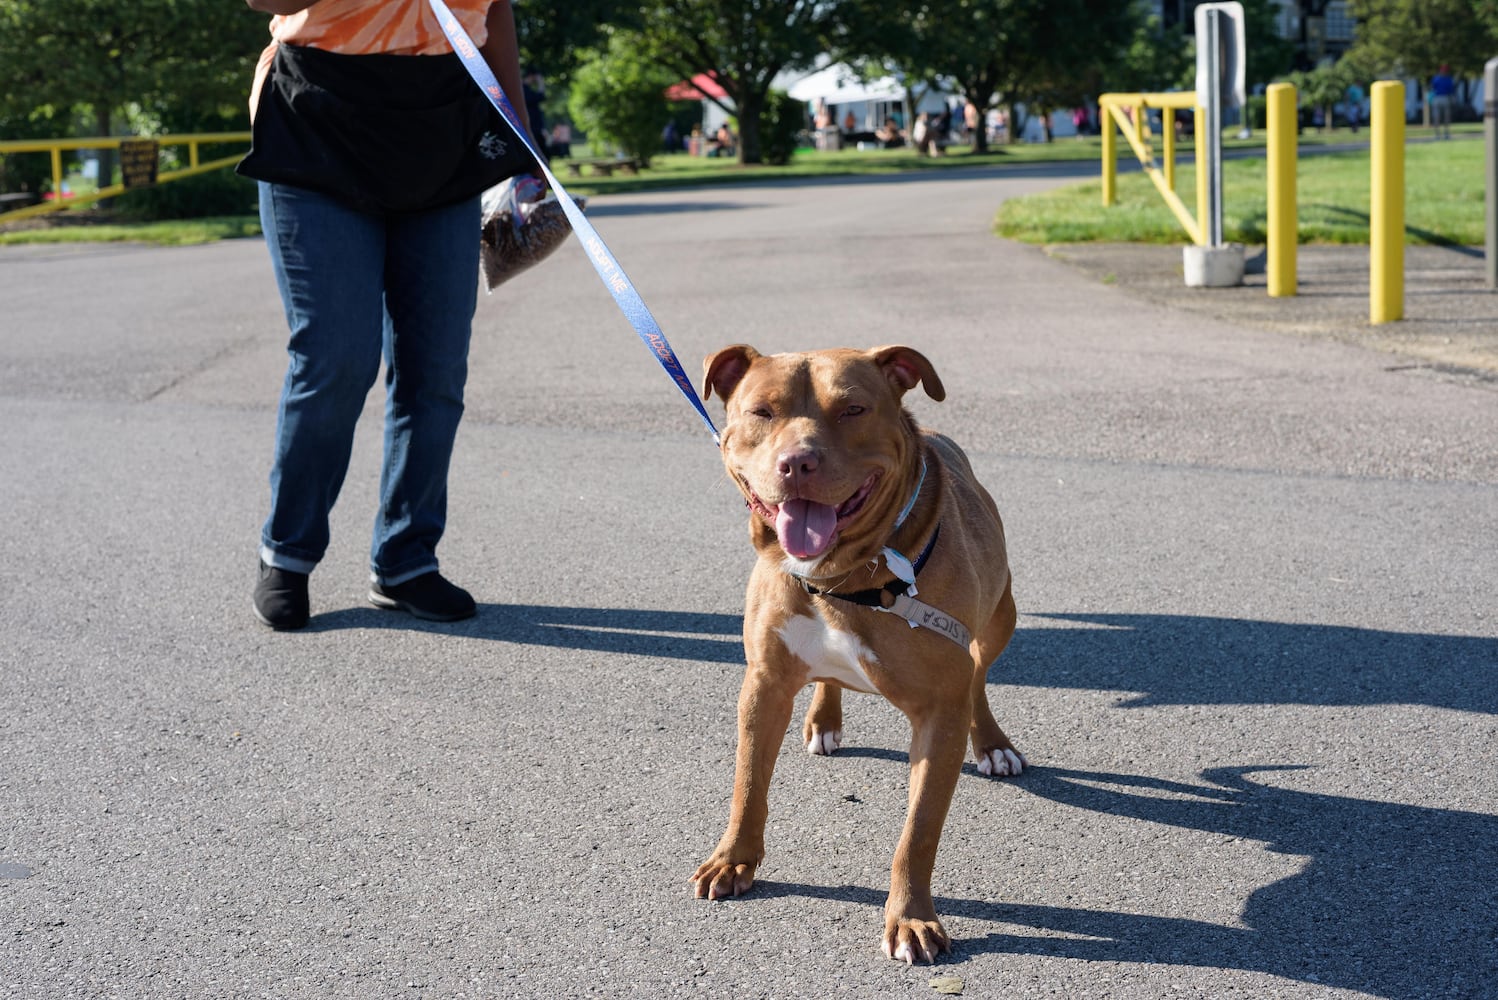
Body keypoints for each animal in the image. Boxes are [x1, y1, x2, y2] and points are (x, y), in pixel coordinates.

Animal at [692, 344, 1024, 958]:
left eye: (852, 409)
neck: (843, 578)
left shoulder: (940, 712)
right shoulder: (763, 684)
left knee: (979, 675)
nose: (797, 462)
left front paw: (911, 918)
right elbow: (748, 785)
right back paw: (824, 719)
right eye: (761, 411)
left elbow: (918, 831)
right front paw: (732, 861)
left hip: (998, 619)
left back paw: (992, 744)